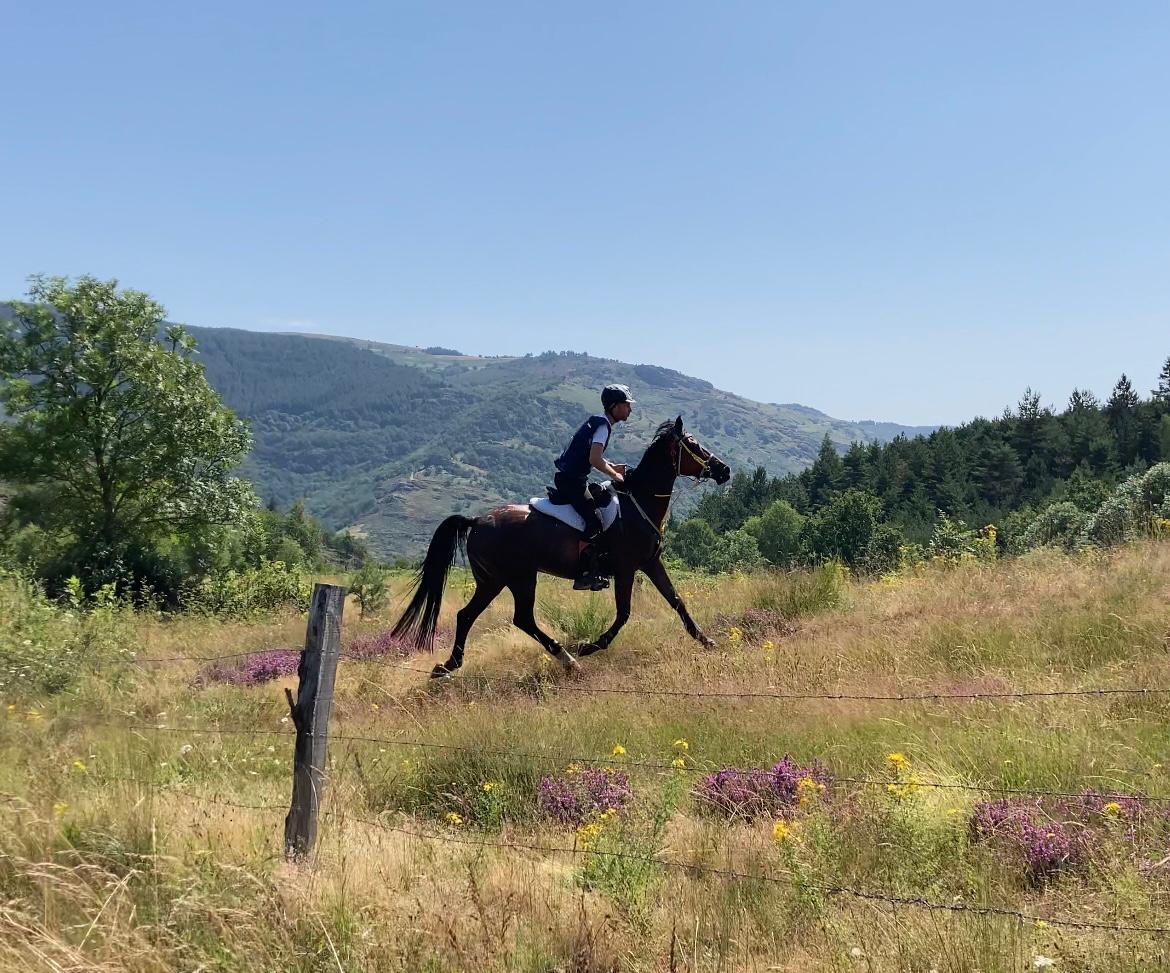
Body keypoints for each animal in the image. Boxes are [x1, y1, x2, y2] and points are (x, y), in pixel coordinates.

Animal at [393, 416, 730, 678]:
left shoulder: (650, 563)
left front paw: (706, 641)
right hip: (520, 577)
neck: (638, 502)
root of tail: (477, 520)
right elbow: (624, 613)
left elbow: (677, 601)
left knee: (467, 615)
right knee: (522, 618)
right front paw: (589, 646)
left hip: (493, 580)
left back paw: (448, 665)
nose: (724, 470)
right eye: (694, 445)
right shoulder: (626, 568)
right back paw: (569, 660)